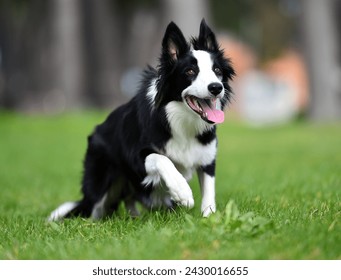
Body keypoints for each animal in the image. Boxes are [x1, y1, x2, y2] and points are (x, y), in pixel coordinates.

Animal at [47, 19, 234, 221]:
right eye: (190, 71)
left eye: (217, 70)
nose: (216, 87)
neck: (180, 120)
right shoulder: (136, 156)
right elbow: (161, 159)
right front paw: (182, 192)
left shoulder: (207, 158)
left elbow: (209, 190)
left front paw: (210, 217)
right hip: (100, 182)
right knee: (91, 208)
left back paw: (134, 217)